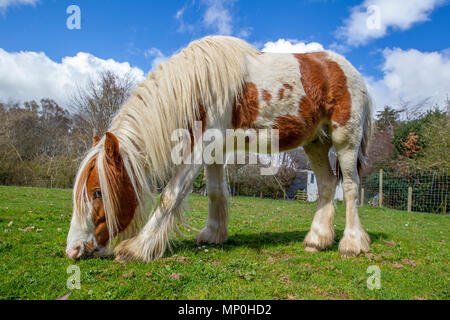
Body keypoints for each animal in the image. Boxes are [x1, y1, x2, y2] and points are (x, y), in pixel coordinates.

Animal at [66, 36, 372, 264]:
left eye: (97, 192)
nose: (73, 250)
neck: (198, 85)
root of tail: (350, 71)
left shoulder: (199, 146)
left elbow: (170, 195)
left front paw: (137, 248)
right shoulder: (214, 149)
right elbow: (215, 191)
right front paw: (214, 234)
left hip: (345, 140)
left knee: (350, 187)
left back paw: (351, 244)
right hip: (316, 144)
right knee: (326, 185)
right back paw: (317, 240)